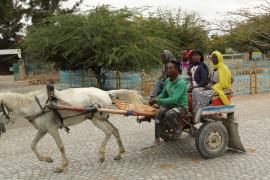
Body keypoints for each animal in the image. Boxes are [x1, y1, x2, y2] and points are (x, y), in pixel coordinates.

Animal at [0, 88, 144, 172]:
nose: (2, 129)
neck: (35, 106)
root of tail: (105, 92)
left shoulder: (52, 129)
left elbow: (61, 146)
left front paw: (62, 165)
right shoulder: (43, 130)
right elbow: (32, 145)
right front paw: (47, 159)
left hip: (96, 119)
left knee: (108, 132)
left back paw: (102, 154)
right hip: (102, 118)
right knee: (115, 130)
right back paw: (119, 153)